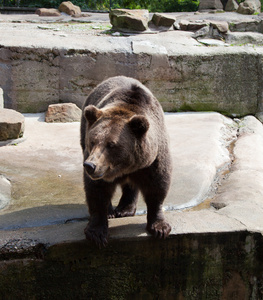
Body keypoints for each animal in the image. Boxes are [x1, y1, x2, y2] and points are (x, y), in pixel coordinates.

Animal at [80, 76, 173, 247]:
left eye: (111, 144)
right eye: (93, 141)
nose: (90, 165)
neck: (125, 166)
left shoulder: (153, 160)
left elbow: (158, 186)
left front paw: (160, 227)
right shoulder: (98, 166)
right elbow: (96, 191)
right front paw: (96, 233)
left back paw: (125, 209)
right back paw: (112, 211)